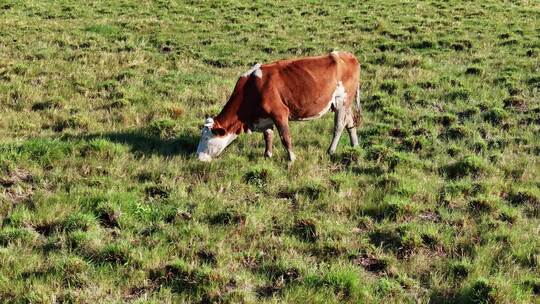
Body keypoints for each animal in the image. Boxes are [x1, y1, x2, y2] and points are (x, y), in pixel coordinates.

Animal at [196, 51, 360, 163]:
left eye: (206, 138)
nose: (197, 157)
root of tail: (348, 55)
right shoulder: (265, 116)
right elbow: (268, 135)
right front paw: (267, 155)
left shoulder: (279, 113)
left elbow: (285, 137)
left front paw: (291, 158)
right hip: (346, 103)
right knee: (350, 123)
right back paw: (355, 146)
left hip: (341, 101)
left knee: (339, 125)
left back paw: (331, 150)